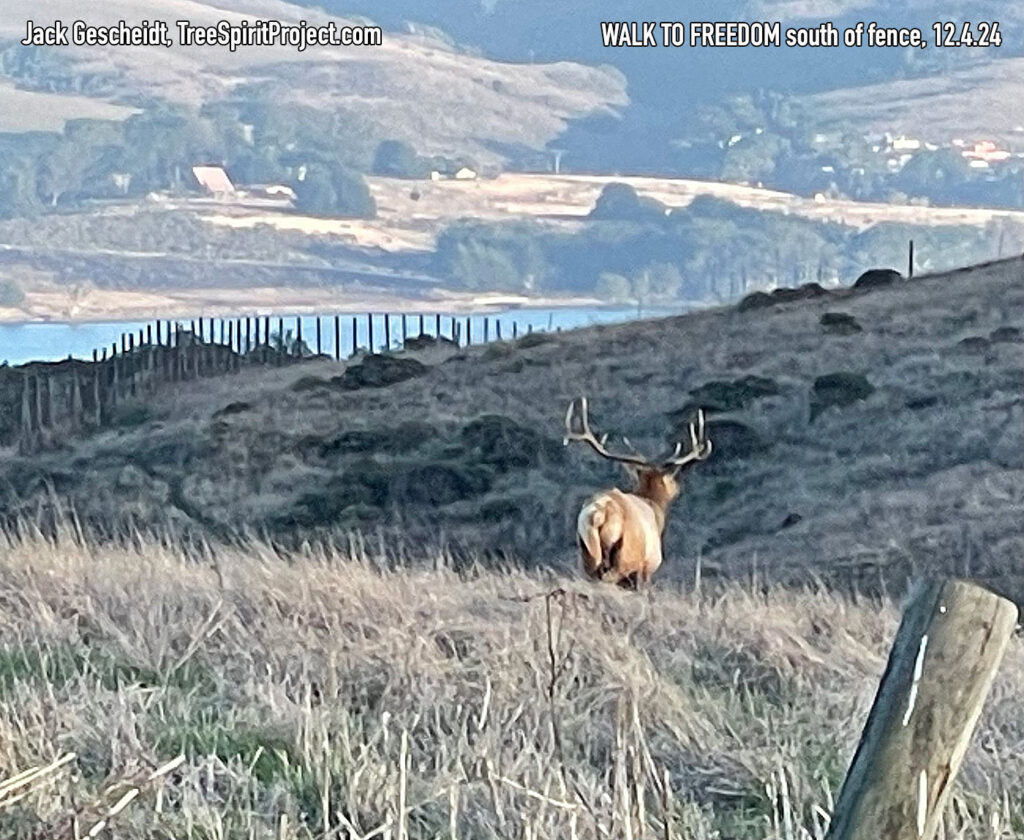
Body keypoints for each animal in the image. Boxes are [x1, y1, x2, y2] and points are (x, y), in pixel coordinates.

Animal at [561, 397, 712, 585]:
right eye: (672, 479)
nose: (677, 488)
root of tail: (599, 514)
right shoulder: (647, 567)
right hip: (627, 556)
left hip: (586, 552)